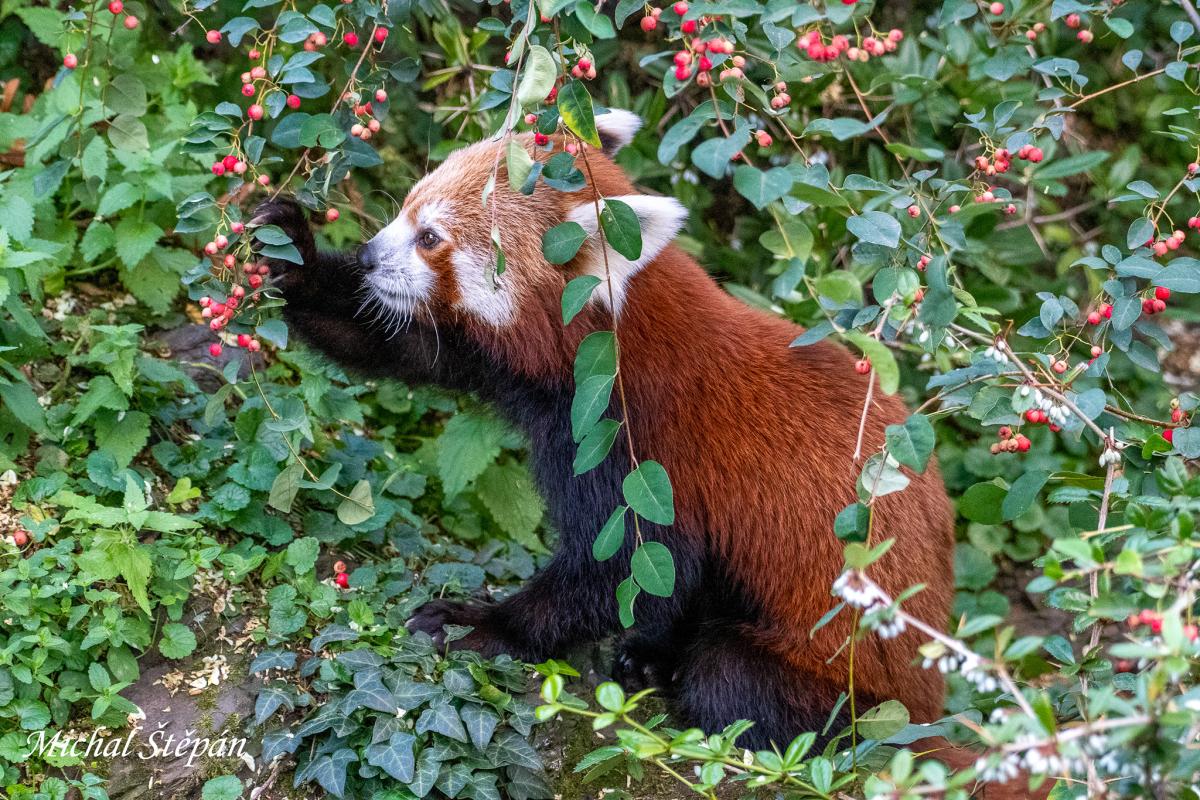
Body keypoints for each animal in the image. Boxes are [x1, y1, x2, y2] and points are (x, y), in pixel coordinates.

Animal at [249, 109, 957, 754]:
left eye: (429, 237)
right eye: (405, 209)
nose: (371, 256)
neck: (604, 344)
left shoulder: (639, 447)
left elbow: (617, 566)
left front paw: (478, 624)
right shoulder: (501, 364)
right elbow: (399, 339)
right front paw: (291, 253)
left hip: (842, 679)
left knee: (732, 679)